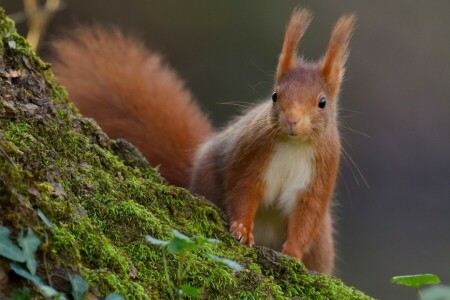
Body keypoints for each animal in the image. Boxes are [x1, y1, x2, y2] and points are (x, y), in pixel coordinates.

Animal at [51, 7, 356, 274]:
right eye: (274, 95)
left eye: (322, 102)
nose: (292, 120)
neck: (294, 146)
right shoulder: (252, 156)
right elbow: (243, 191)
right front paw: (242, 229)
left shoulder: (319, 177)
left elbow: (307, 217)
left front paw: (292, 253)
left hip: (323, 244)